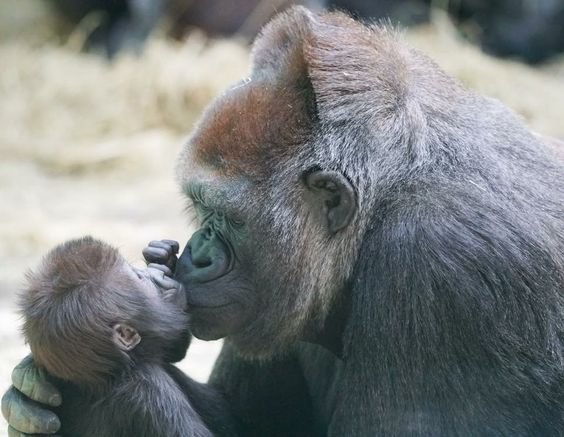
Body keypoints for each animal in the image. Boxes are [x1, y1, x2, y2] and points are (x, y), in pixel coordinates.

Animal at [18, 237, 236, 436]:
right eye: (139, 279)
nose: (148, 272)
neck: (110, 375)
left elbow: (170, 350)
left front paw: (162, 256)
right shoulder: (150, 393)